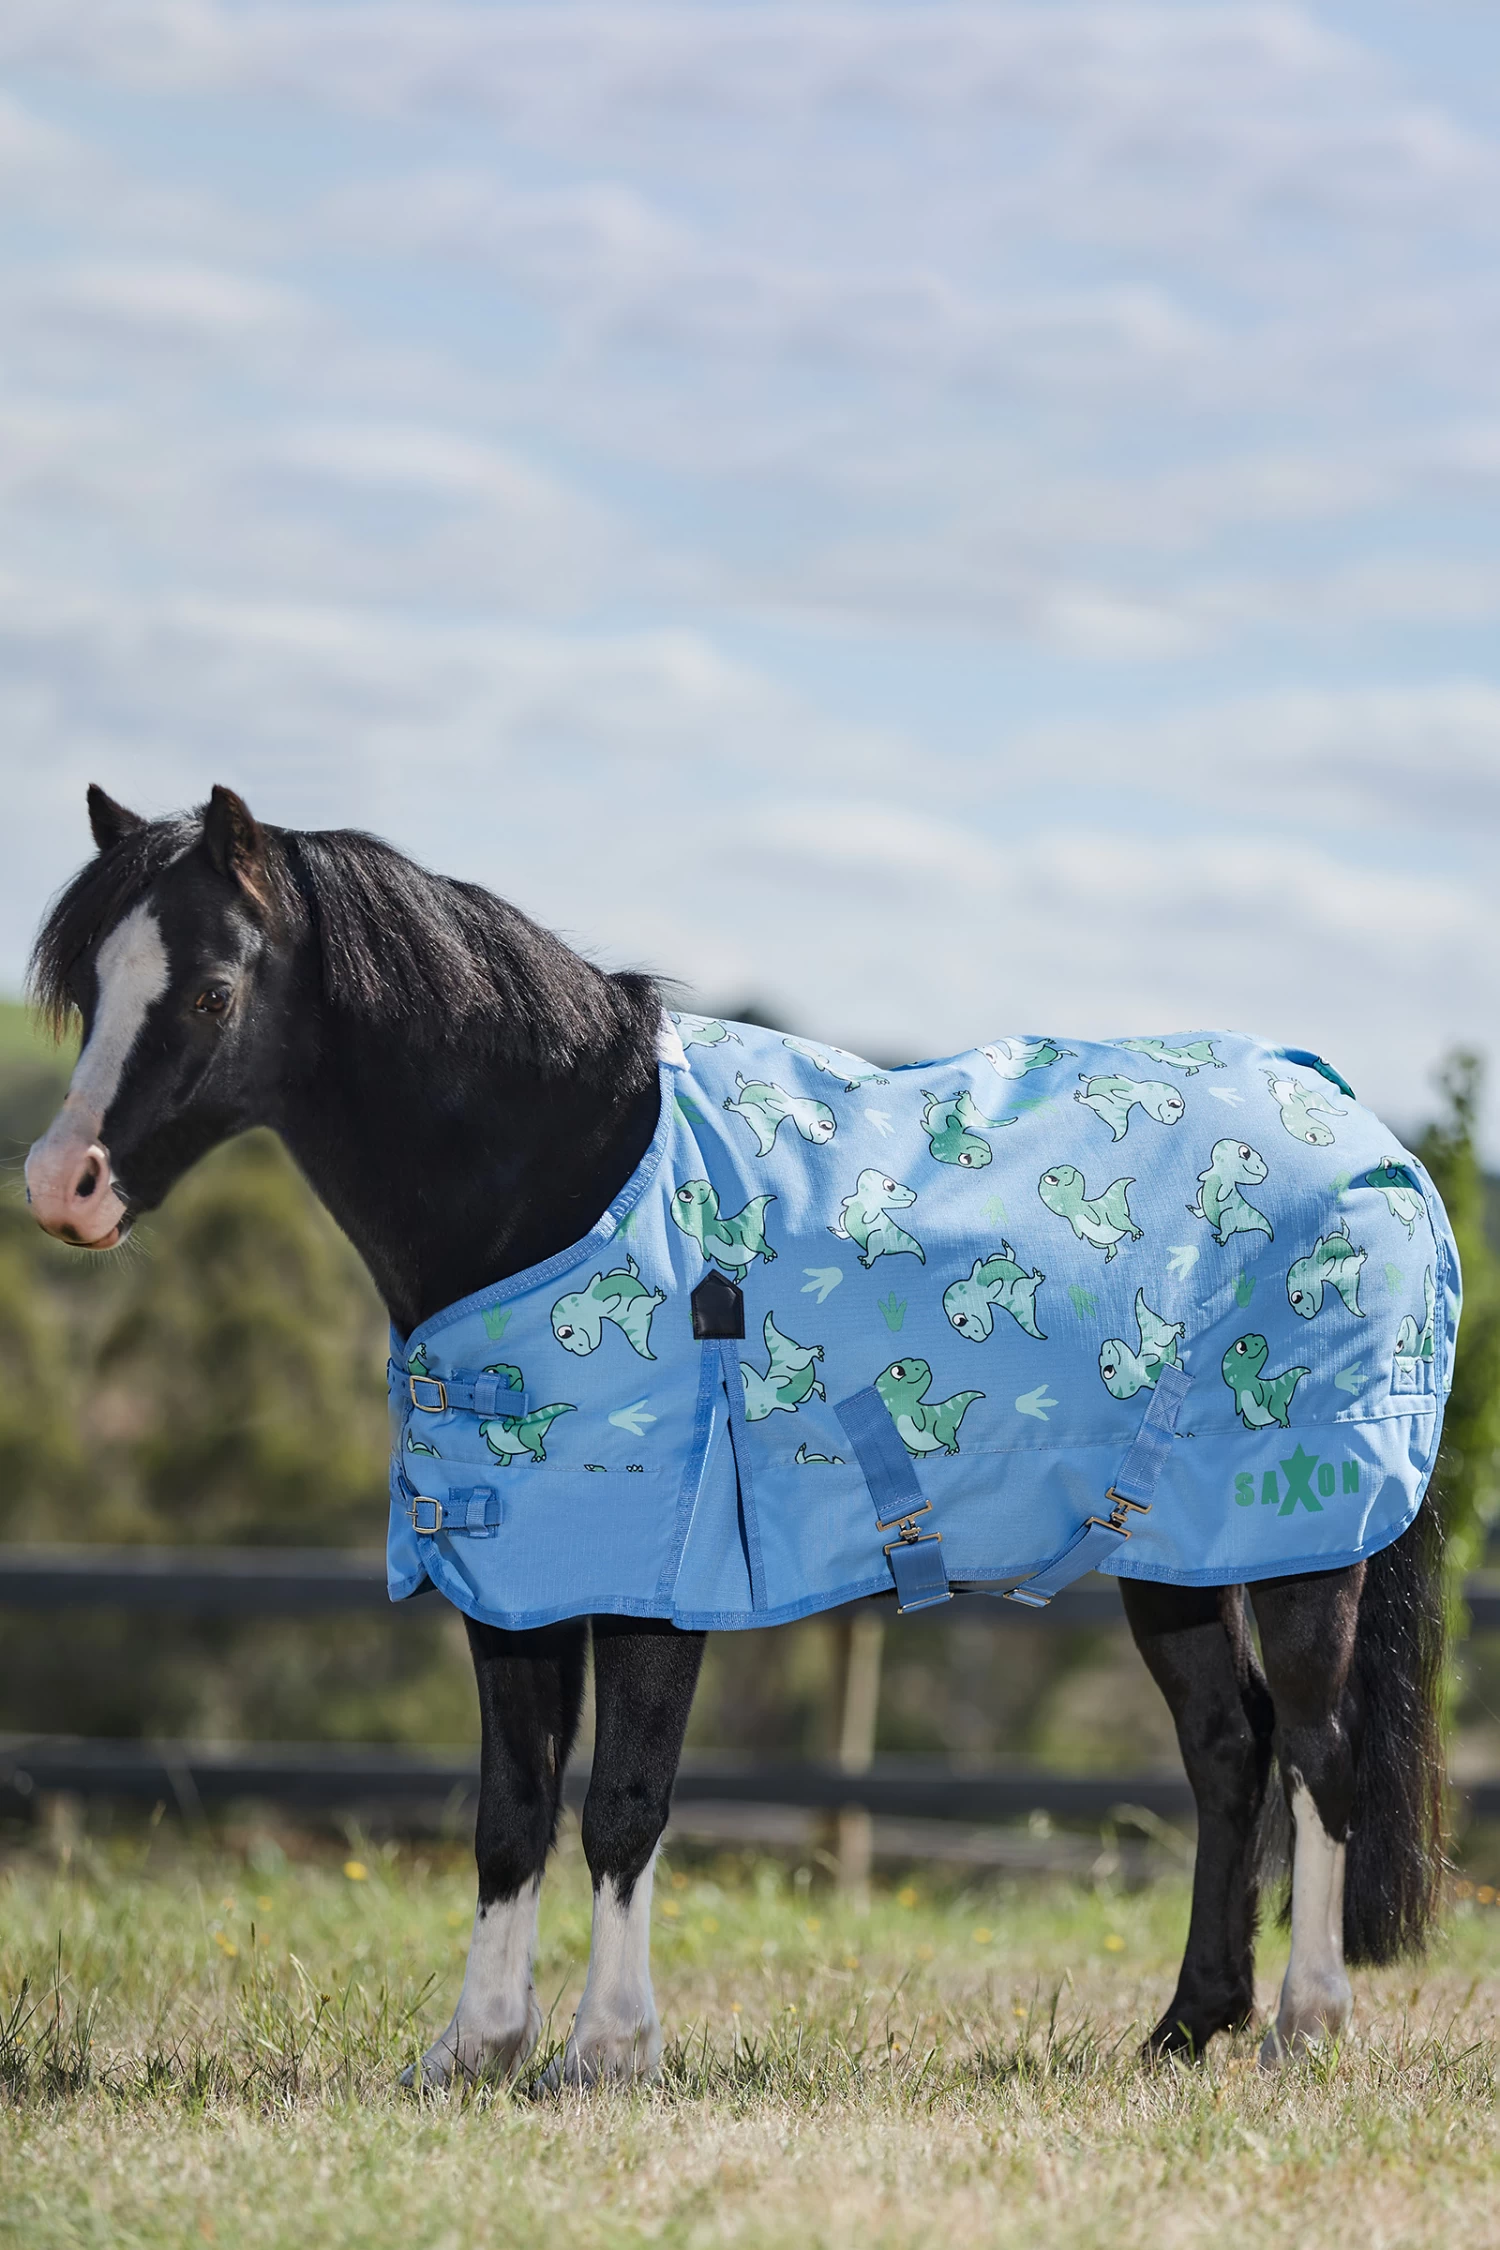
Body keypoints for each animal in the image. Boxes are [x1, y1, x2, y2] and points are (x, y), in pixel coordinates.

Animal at [24, 785, 1446, 2084]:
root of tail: (1360, 1127)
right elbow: (510, 1810)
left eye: (213, 992)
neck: (568, 1177)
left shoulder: (663, 1572)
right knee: (1228, 1750)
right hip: (1175, 1553)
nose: (61, 1186)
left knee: (1319, 1752)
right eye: (90, 988)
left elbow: (622, 1805)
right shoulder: (519, 1571)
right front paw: (476, 2048)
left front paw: (608, 2051)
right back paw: (1188, 2025)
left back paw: (1306, 2029)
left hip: (1306, 1540)